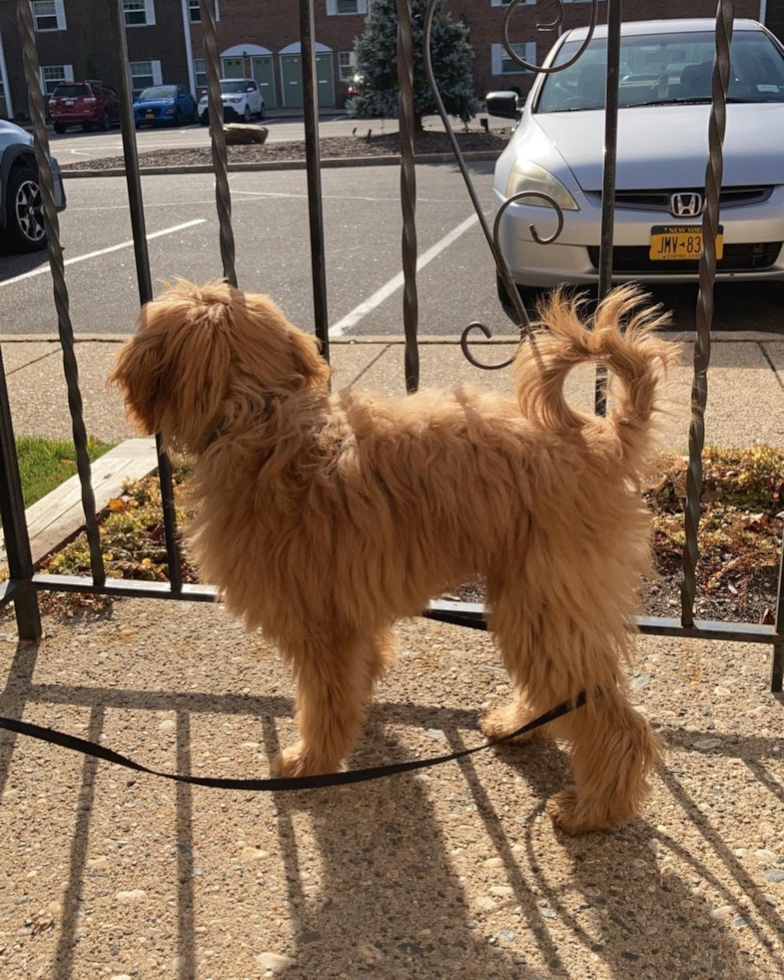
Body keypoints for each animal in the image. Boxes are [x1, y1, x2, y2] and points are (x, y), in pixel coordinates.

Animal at [107, 278, 676, 836]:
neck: (262, 416)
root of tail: (602, 440)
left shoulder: (318, 626)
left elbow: (322, 701)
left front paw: (311, 761)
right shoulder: (348, 615)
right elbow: (355, 675)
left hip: (547, 600)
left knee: (614, 720)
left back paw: (594, 808)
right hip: (533, 600)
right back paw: (519, 725)